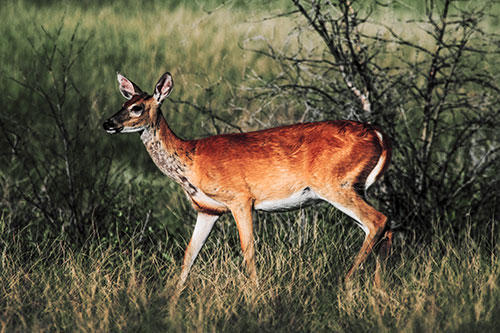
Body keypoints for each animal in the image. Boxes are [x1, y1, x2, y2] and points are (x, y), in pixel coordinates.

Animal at [103, 72, 392, 288]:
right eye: (122, 103)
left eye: (137, 108)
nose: (107, 123)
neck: (191, 161)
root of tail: (379, 136)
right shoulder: (207, 209)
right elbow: (189, 255)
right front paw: (171, 301)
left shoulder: (240, 198)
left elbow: (248, 250)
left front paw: (254, 295)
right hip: (352, 188)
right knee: (383, 228)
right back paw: (378, 290)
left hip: (336, 184)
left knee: (378, 220)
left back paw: (346, 282)